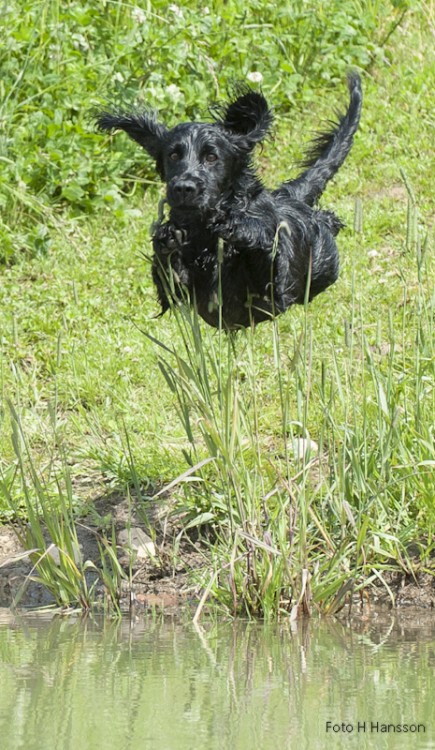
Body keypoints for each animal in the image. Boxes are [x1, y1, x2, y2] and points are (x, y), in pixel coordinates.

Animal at [97, 75, 362, 330]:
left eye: (211, 157)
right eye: (173, 155)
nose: (184, 188)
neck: (205, 232)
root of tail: (289, 197)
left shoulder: (273, 292)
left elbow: (267, 260)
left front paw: (240, 228)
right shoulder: (180, 292)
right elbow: (171, 279)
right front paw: (169, 237)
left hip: (323, 261)